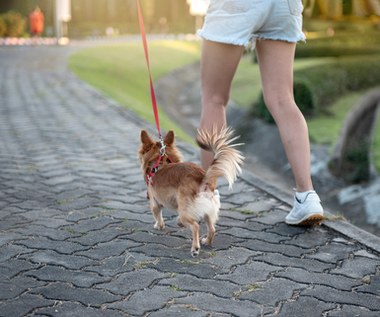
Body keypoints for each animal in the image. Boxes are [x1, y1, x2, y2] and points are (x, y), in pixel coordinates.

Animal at [139, 127, 243, 256]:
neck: (160, 162)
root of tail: (203, 178)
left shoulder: (154, 201)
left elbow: (157, 214)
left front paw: (159, 225)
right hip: (206, 208)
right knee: (212, 229)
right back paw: (206, 241)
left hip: (186, 210)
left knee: (195, 226)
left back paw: (195, 248)